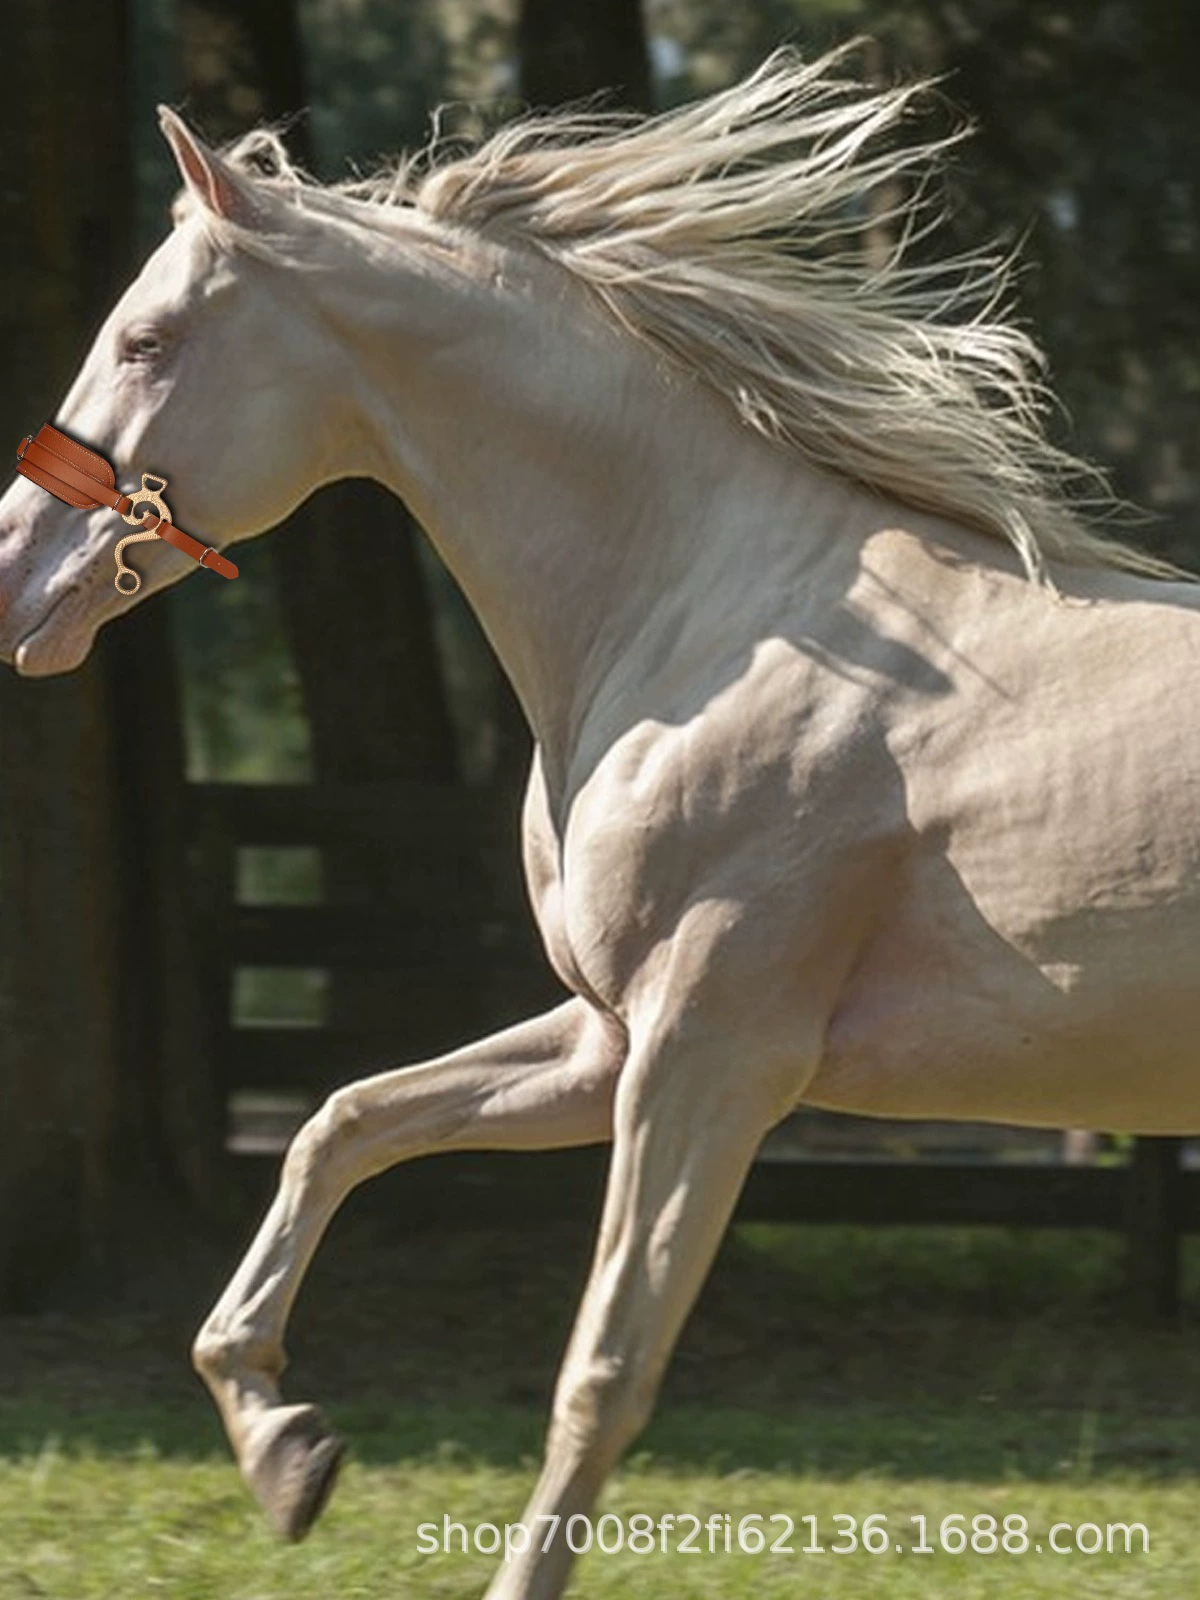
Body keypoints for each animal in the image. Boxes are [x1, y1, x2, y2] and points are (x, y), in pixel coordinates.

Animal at [2, 43, 1198, 1600]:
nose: (15, 573)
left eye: (146, 341)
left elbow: (603, 1372)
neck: (706, 616)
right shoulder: (605, 1042)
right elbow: (342, 1120)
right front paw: (286, 1450)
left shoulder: (710, 1055)